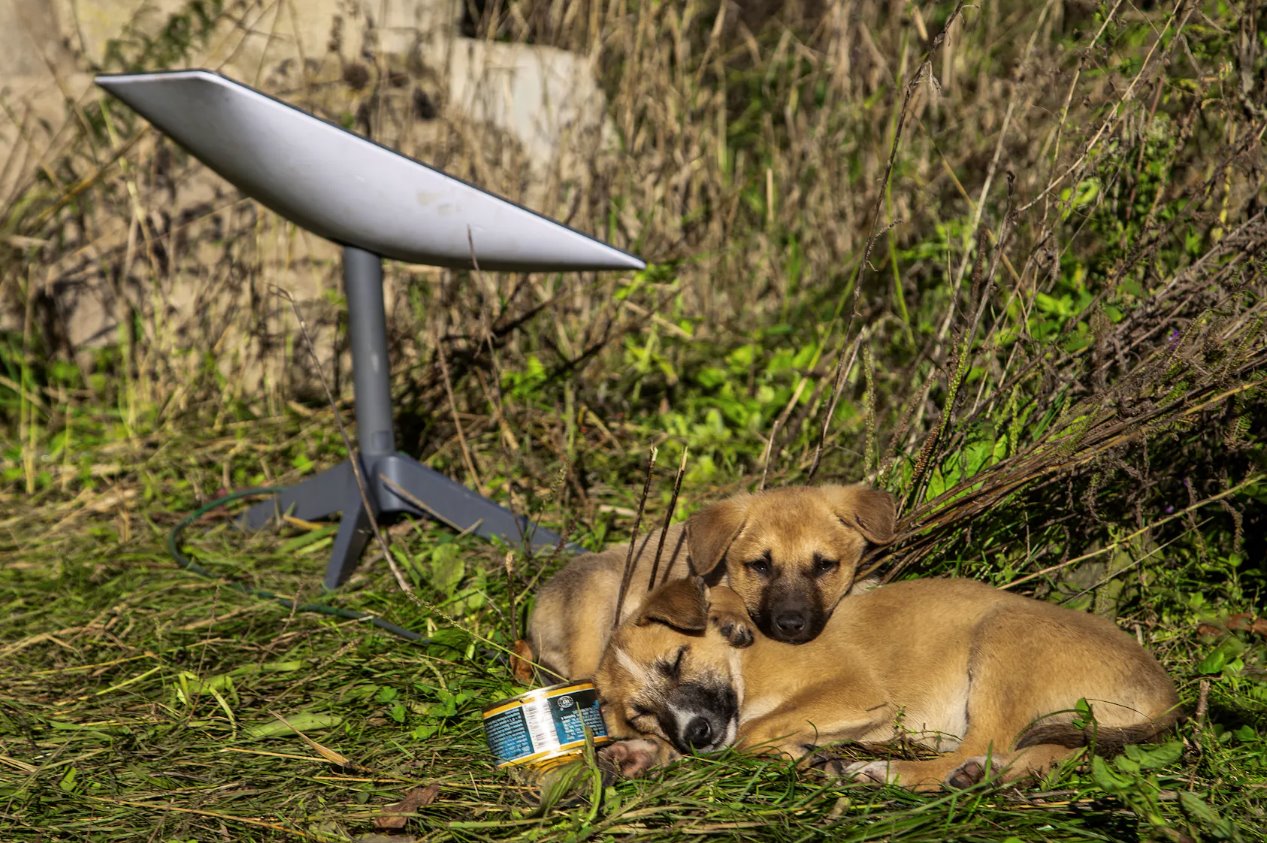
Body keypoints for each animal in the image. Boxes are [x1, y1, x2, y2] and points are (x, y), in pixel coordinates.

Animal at [519, 484, 897, 679]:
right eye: (760, 565)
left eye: (824, 565)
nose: (790, 625)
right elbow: (724, 589)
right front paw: (731, 616)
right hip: (595, 598)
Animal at [592, 575, 1175, 785]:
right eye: (641, 714)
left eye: (676, 660)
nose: (696, 733)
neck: (746, 667)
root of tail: (1166, 692)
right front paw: (639, 755)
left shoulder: (856, 692)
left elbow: (751, 736)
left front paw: (805, 758)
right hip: (1060, 721)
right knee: (1039, 753)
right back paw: (977, 778)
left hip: (1003, 635)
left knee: (982, 743)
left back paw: (890, 772)